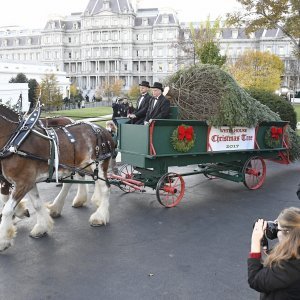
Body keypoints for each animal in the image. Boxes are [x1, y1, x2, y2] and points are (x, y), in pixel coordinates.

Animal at [0, 105, 113, 251]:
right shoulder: (28, 182)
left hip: (98, 165)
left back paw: (100, 216)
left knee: (105, 188)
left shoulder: (22, 182)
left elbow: (7, 208)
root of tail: (104, 130)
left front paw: (3, 239)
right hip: (81, 166)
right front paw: (41, 227)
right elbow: (36, 204)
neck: (14, 140)